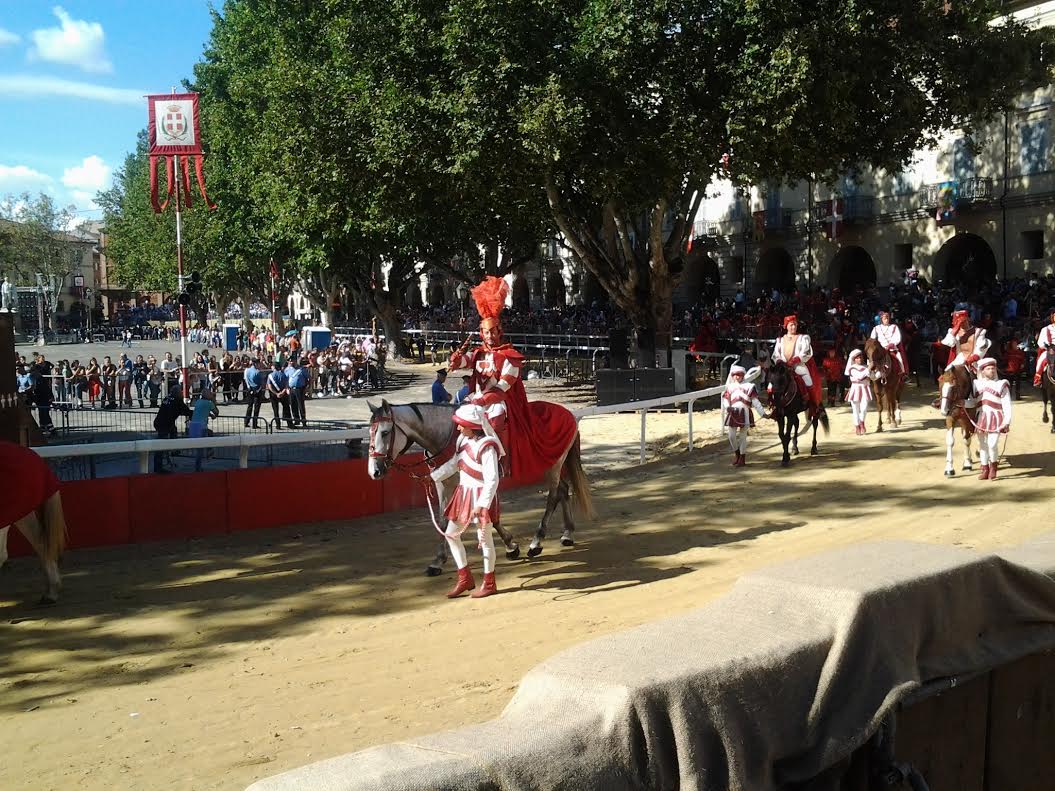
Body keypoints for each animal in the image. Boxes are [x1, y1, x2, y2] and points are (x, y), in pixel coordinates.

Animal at [367, 402, 590, 577]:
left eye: (385, 432)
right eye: (370, 432)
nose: (374, 471)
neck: (447, 436)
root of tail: (567, 413)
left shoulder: (481, 481)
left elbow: (491, 516)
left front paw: (511, 546)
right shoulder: (443, 484)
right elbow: (442, 520)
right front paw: (437, 561)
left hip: (553, 466)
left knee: (553, 497)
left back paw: (537, 542)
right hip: (550, 466)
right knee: (563, 491)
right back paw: (567, 534)